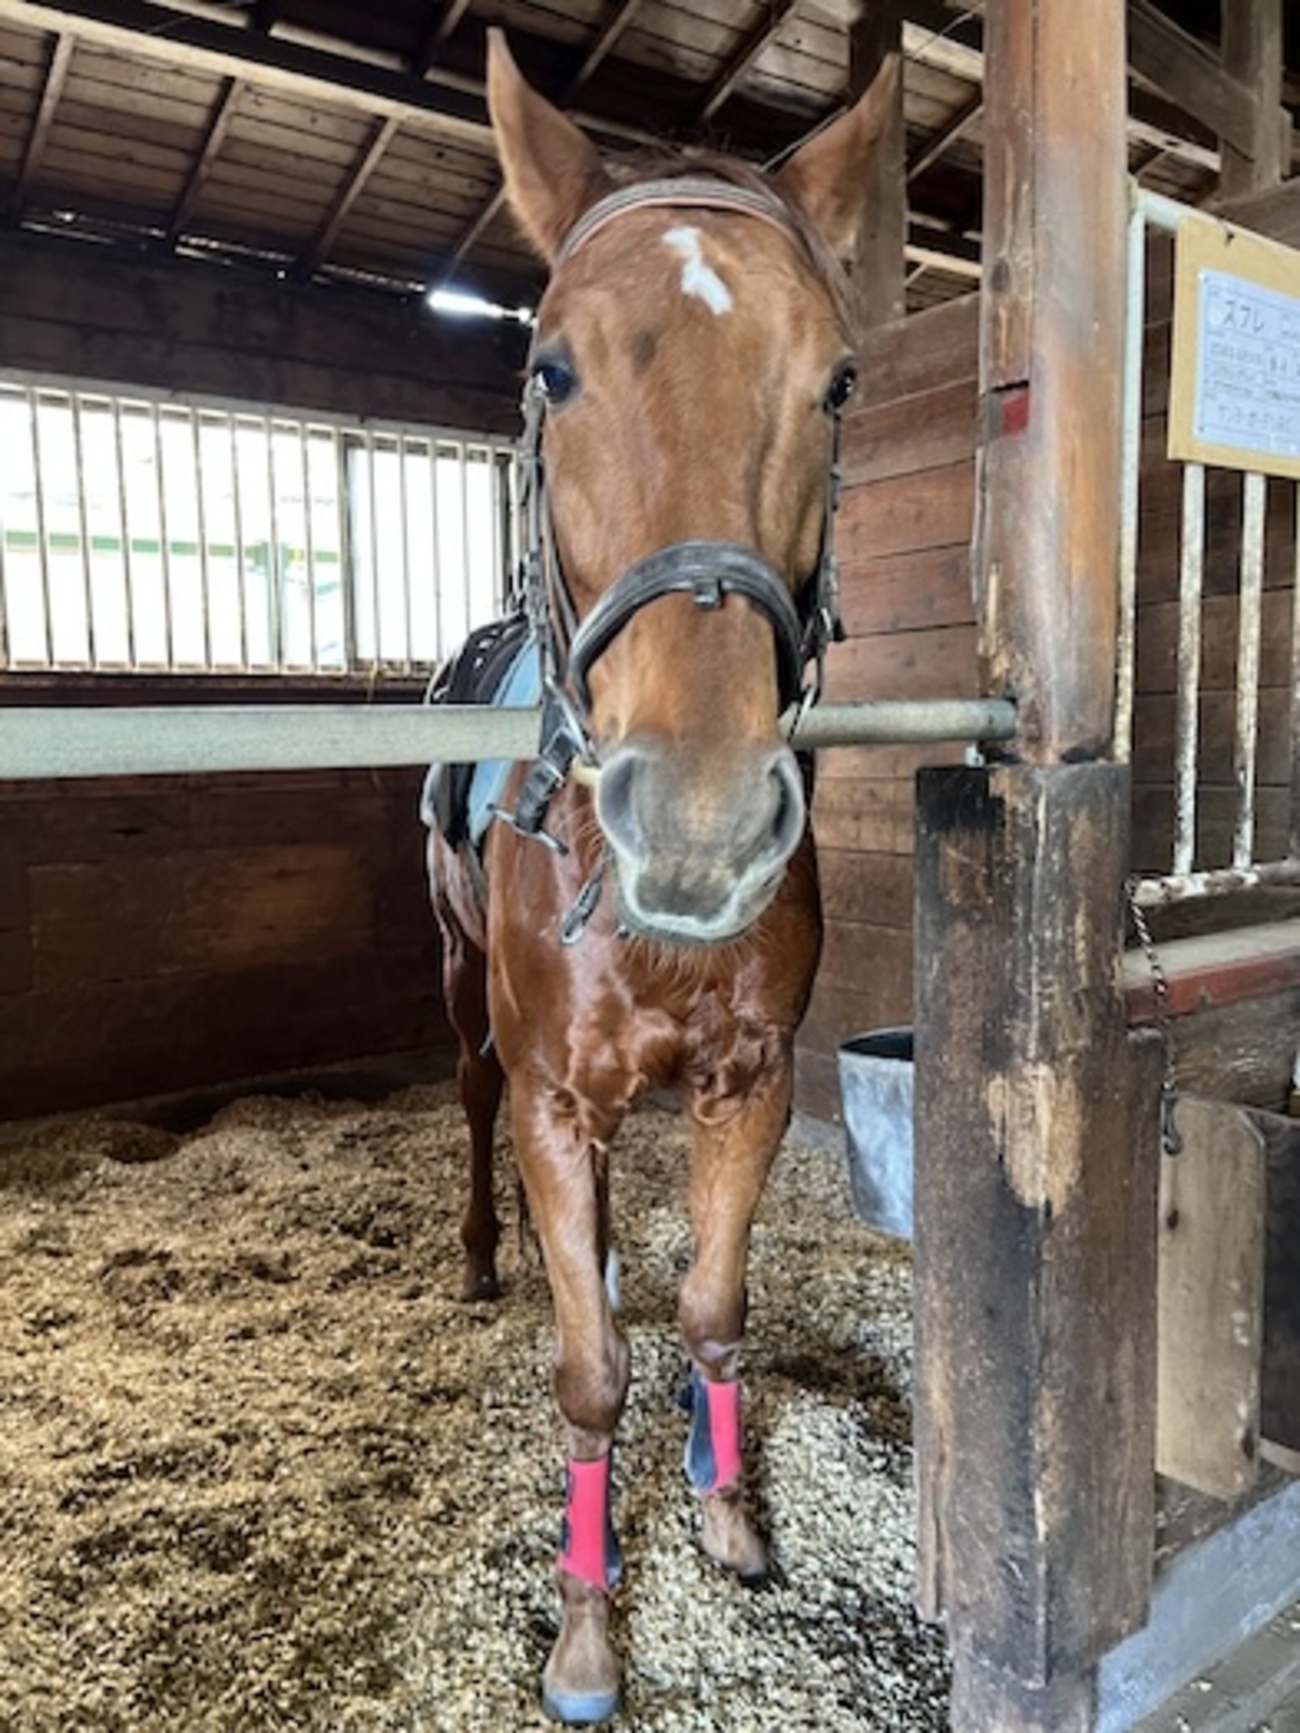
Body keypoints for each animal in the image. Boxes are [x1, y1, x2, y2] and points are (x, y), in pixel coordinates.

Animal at [425, 30, 893, 1724]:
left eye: (837, 380)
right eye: (550, 370)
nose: (696, 818)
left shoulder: (747, 1081)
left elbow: (709, 1308)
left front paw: (724, 1503)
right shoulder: (561, 1096)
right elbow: (588, 1369)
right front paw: (584, 1626)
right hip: (466, 1003)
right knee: (477, 1102)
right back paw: (488, 1255)